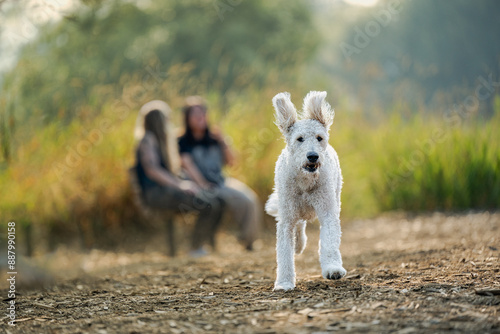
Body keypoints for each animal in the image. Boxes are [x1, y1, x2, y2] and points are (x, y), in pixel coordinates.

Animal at [268, 90, 346, 290]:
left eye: (319, 137)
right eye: (299, 139)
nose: (312, 156)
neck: (305, 181)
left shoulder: (327, 211)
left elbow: (329, 241)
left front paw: (333, 269)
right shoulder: (286, 219)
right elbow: (284, 253)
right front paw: (284, 283)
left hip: (335, 195)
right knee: (299, 225)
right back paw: (298, 245)